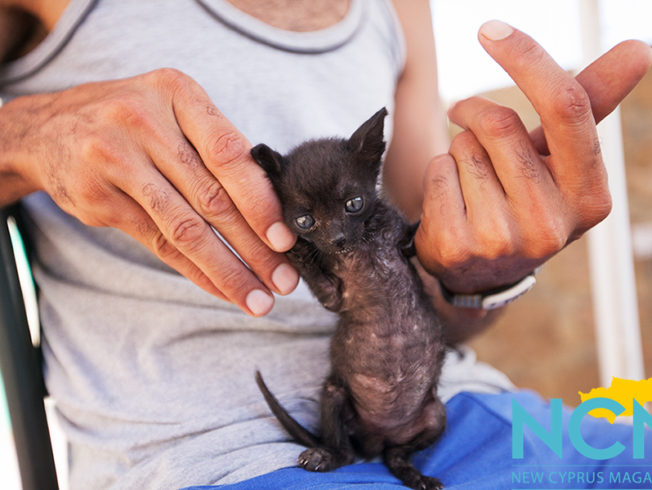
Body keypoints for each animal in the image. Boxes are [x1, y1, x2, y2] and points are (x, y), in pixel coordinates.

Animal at [252, 108, 446, 490]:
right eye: (304, 220)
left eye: (354, 204)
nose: (338, 239)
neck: (363, 246)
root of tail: (377, 438)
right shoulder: (334, 295)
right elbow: (316, 276)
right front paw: (297, 250)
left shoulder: (402, 242)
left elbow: (414, 234)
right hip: (335, 395)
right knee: (347, 453)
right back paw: (324, 456)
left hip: (435, 415)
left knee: (396, 455)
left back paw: (416, 476)